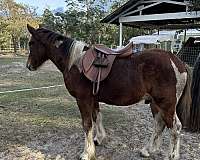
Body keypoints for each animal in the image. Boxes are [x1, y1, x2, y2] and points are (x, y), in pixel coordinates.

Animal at [25, 25, 191, 160]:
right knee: (160, 124)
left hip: (166, 104)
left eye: (31, 43)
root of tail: (177, 61)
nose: (28, 66)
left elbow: (87, 124)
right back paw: (147, 150)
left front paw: (86, 153)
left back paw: (171, 156)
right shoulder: (93, 99)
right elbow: (97, 117)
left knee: (175, 128)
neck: (75, 62)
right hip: (155, 103)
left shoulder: (83, 99)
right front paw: (99, 139)